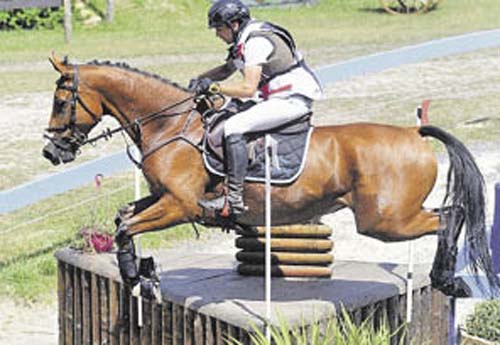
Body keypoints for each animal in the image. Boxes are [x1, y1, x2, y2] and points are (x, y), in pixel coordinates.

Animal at [44, 55, 500, 296]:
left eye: (61, 101)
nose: (51, 151)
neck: (171, 125)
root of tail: (411, 132)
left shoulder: (180, 206)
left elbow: (126, 226)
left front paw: (135, 276)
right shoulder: (164, 198)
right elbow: (123, 217)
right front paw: (141, 272)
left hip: (386, 220)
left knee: (450, 215)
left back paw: (446, 280)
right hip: (391, 217)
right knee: (449, 214)